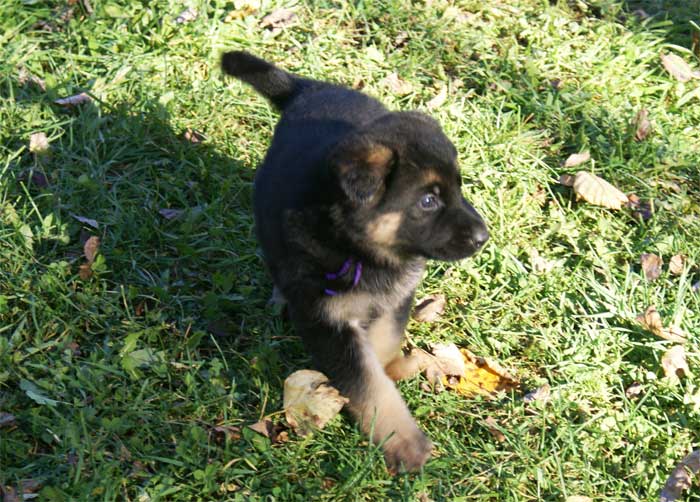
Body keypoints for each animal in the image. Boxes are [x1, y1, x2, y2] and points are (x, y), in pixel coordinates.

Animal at [221, 53, 490, 472]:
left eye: (458, 188)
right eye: (428, 200)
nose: (483, 237)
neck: (363, 249)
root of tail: (310, 88)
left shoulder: (396, 298)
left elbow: (382, 345)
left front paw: (393, 367)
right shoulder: (326, 320)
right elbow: (367, 382)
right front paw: (405, 444)